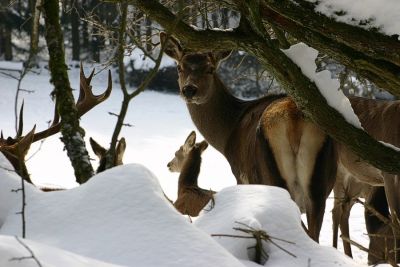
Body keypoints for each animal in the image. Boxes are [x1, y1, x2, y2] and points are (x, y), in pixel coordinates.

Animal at [160, 31, 338, 243]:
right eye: (179, 67)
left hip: (272, 176)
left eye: (210, 68)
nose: (189, 89)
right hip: (320, 187)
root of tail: (293, 117)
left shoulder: (240, 175)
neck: (228, 134)